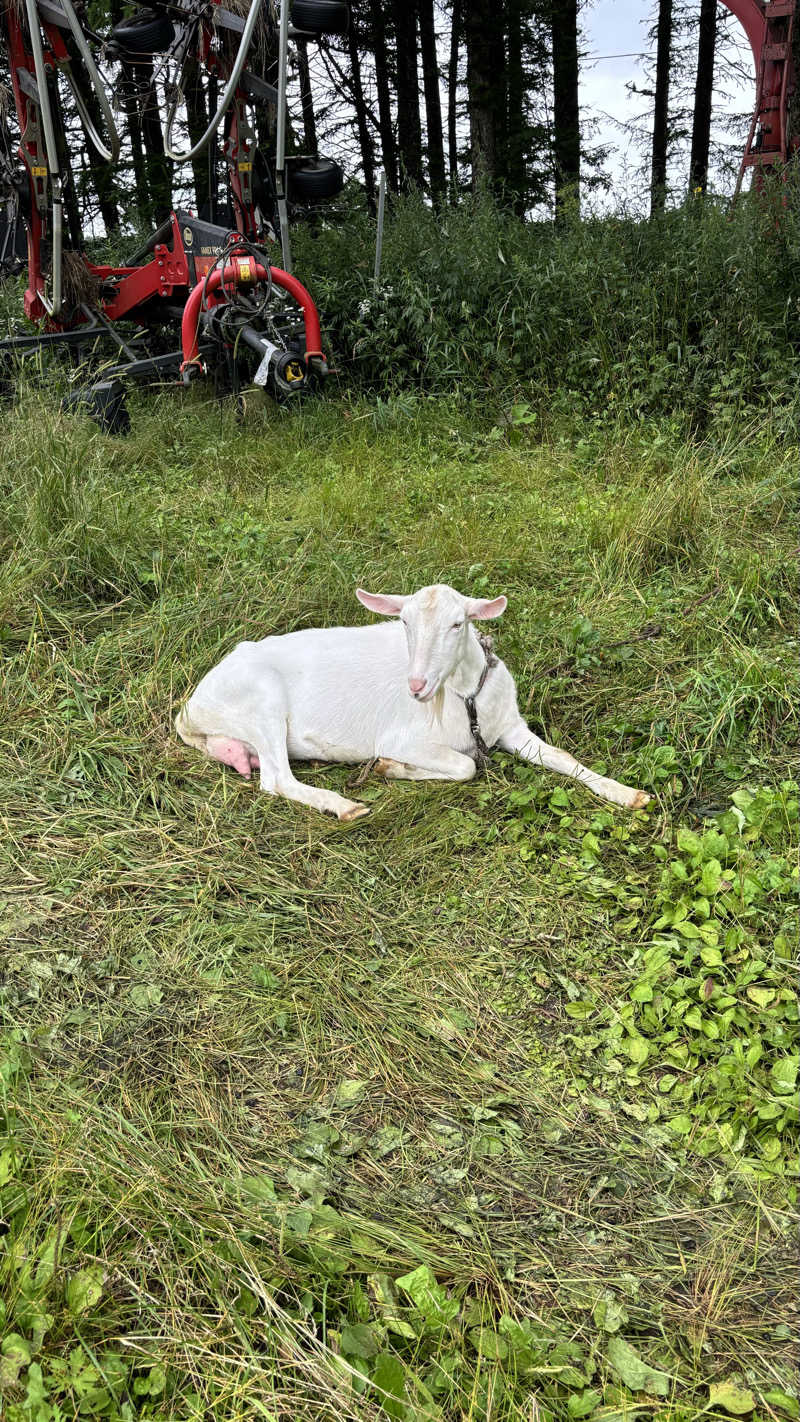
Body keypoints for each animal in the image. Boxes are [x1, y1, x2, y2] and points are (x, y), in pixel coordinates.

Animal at [175, 580, 650, 824]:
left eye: (458, 623)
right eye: (403, 622)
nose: (416, 685)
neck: (465, 700)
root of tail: (190, 708)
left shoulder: (510, 726)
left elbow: (564, 757)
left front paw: (627, 793)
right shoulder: (403, 737)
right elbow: (466, 765)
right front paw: (390, 768)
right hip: (262, 699)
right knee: (276, 780)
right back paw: (344, 806)